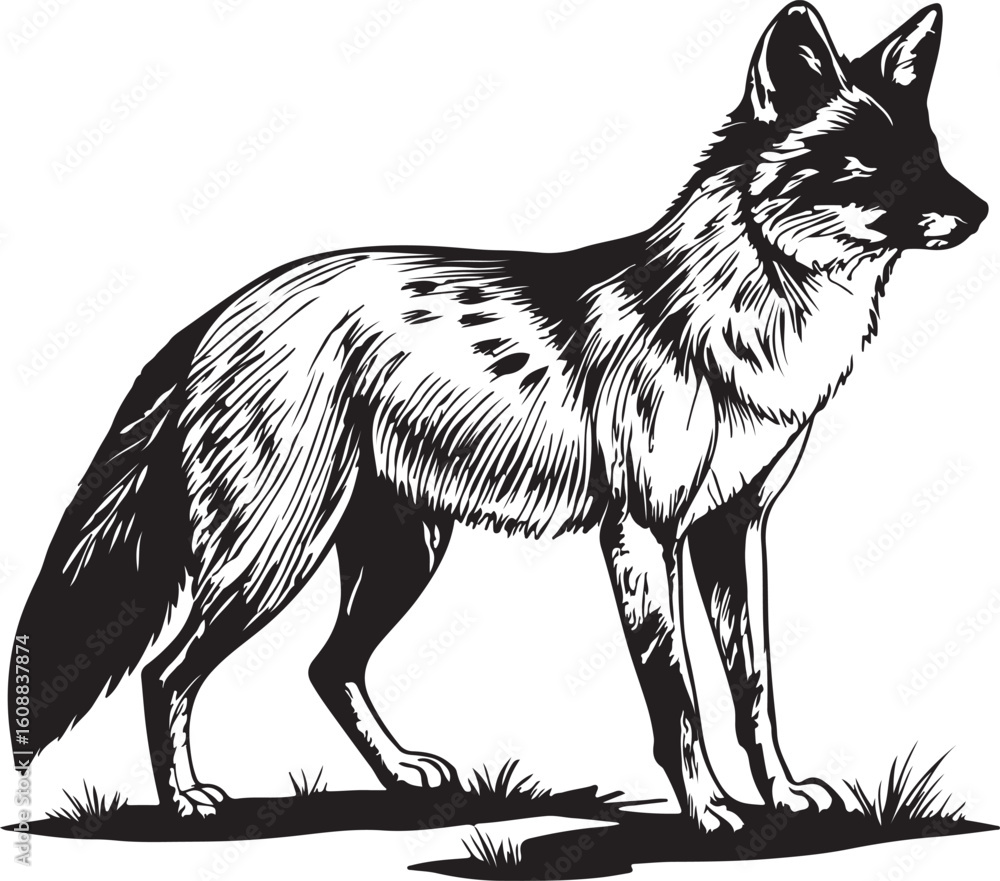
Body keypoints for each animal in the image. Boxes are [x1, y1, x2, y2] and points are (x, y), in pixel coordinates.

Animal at [9, 3, 986, 832]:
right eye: (869, 163)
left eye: (931, 153)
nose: (978, 210)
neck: (733, 329)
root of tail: (215, 312)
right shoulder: (643, 537)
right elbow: (680, 702)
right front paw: (709, 810)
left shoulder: (734, 530)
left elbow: (755, 689)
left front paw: (781, 793)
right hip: (274, 560)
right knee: (166, 671)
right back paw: (187, 801)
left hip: (399, 556)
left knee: (328, 667)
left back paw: (403, 775)